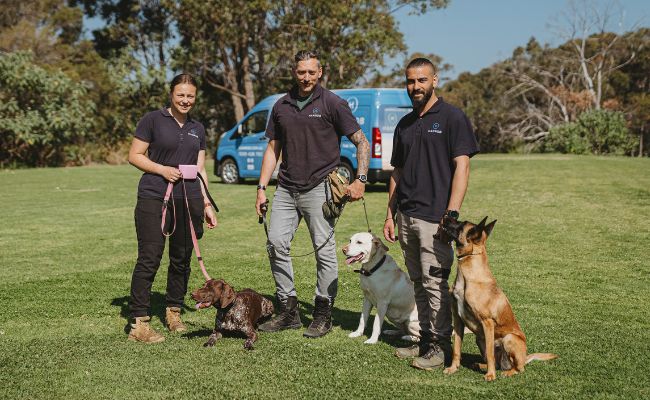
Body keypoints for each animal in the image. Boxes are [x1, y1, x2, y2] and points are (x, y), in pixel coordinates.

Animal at [440, 217, 556, 380]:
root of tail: (525, 358)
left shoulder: (487, 322)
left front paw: (490, 376)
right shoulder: (458, 320)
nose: (445, 217)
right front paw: (453, 368)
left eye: (461, 224)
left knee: (518, 368)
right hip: (479, 339)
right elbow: (457, 348)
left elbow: (490, 354)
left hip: (509, 338)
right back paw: (481, 365)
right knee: (498, 363)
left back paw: (506, 372)